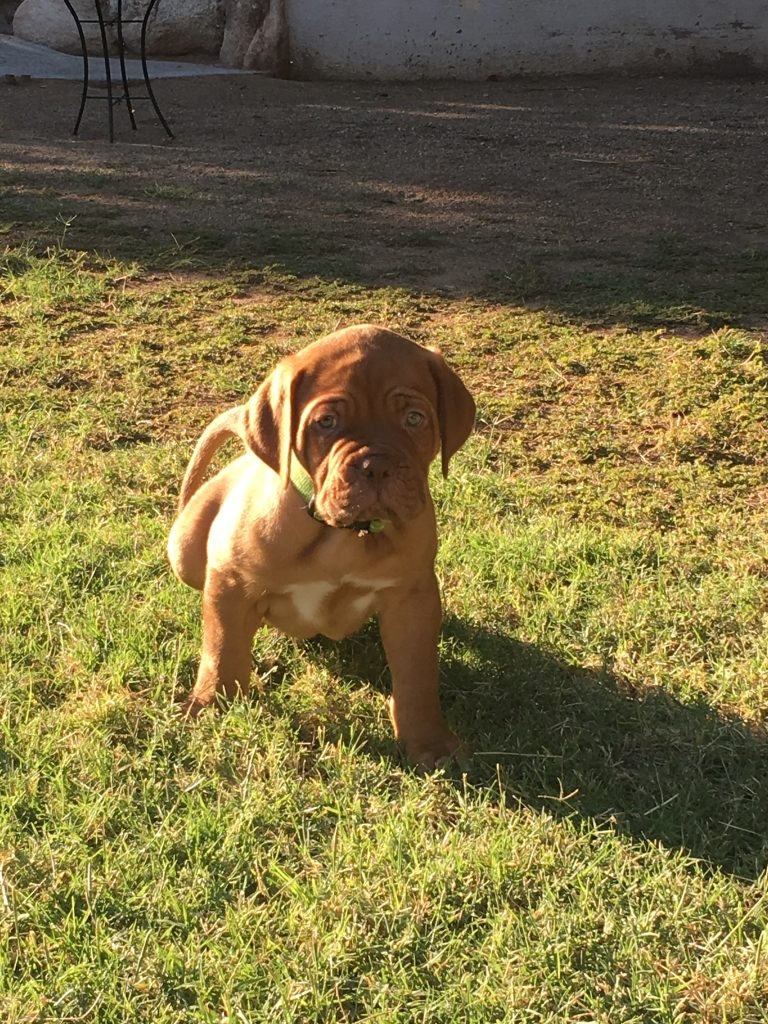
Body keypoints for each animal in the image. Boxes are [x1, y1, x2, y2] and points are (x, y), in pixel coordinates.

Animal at [167, 325, 475, 770]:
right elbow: (222, 651)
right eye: (326, 422)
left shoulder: (412, 599)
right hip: (183, 550)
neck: (344, 536)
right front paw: (210, 705)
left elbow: (417, 678)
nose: (376, 466)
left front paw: (428, 742)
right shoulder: (230, 582)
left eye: (414, 419)